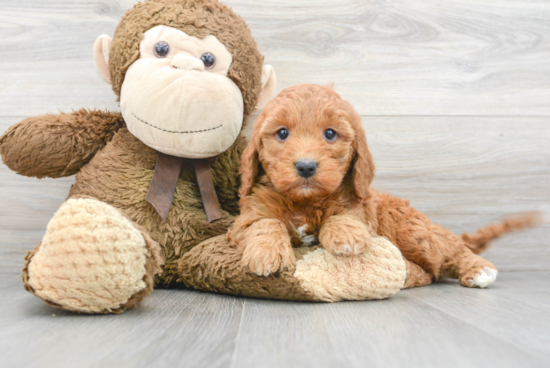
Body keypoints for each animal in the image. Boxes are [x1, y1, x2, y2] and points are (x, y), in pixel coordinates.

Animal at [230, 84, 512, 288]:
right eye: (282, 133)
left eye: (330, 133)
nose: (306, 167)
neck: (306, 202)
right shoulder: (245, 219)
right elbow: (264, 223)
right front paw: (267, 252)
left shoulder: (361, 210)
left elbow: (344, 217)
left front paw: (346, 235)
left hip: (411, 231)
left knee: (448, 251)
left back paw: (478, 269)